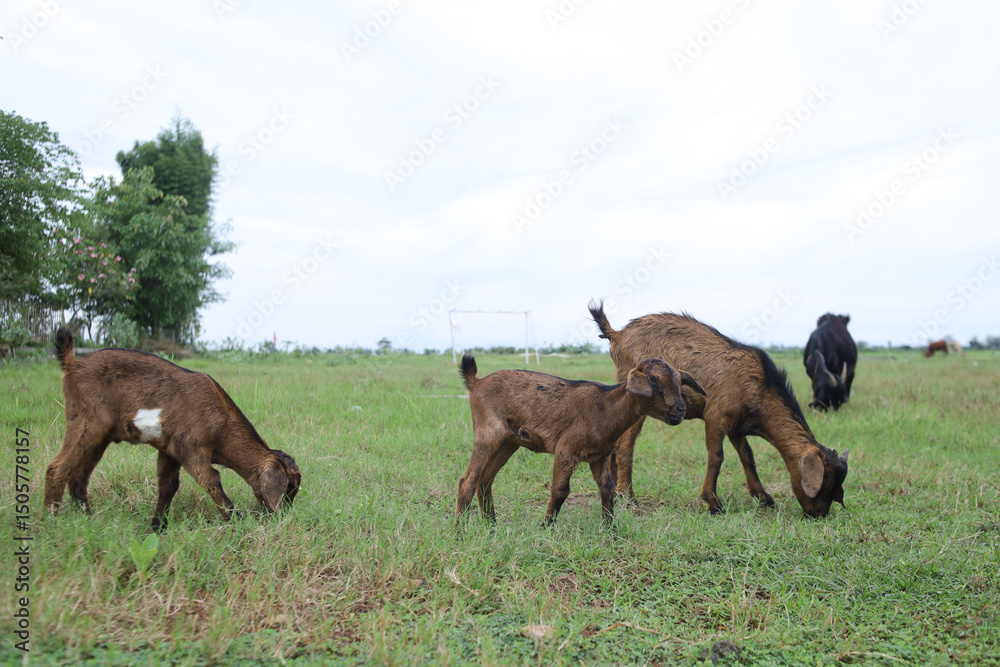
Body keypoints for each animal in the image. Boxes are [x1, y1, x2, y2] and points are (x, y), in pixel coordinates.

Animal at [44, 327, 301, 530]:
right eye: (289, 488)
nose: (282, 516)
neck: (222, 422)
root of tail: (72, 364)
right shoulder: (189, 448)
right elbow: (212, 479)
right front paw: (236, 521)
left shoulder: (169, 450)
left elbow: (168, 486)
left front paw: (157, 528)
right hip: (86, 423)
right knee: (57, 468)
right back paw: (50, 522)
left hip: (100, 437)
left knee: (79, 476)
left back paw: (87, 519)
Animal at [455, 354, 705, 527]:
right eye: (653, 383)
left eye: (679, 383)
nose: (680, 410)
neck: (604, 408)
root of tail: (476, 382)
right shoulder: (566, 450)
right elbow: (560, 490)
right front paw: (545, 528)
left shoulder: (599, 456)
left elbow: (607, 488)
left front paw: (610, 530)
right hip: (488, 433)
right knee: (468, 478)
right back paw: (460, 531)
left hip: (509, 441)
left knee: (485, 479)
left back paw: (492, 526)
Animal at [589, 301, 848, 518]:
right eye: (824, 481)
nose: (818, 514)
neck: (760, 385)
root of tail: (617, 334)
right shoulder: (716, 415)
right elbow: (716, 456)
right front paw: (713, 503)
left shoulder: (737, 426)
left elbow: (748, 457)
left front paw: (763, 497)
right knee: (625, 446)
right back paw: (628, 497)